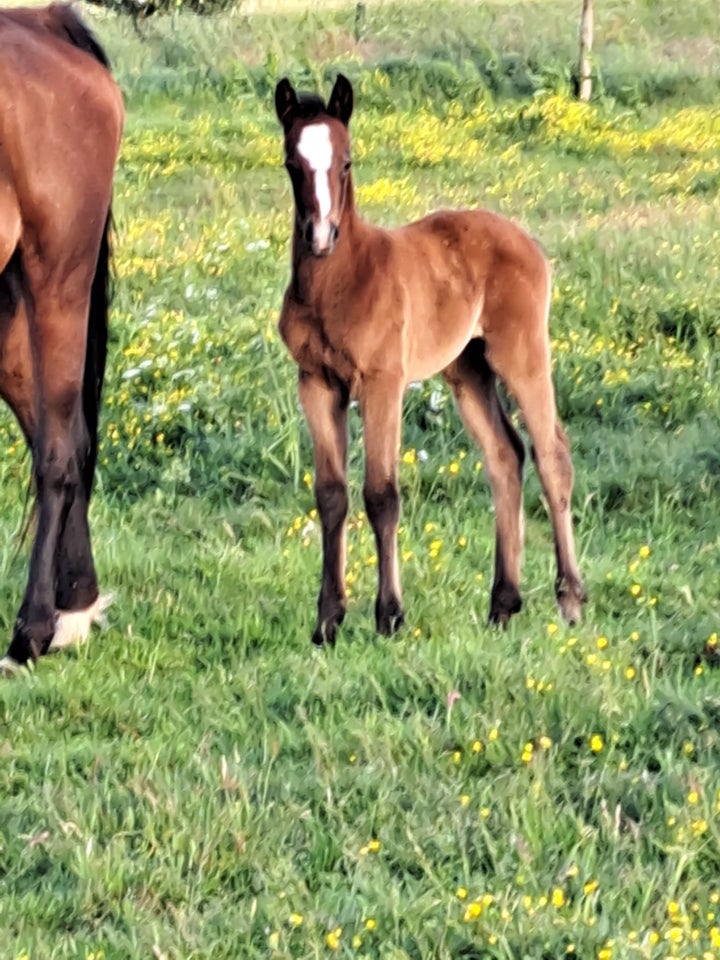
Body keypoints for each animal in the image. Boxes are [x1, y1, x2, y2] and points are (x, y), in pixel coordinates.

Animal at [276, 75, 584, 644]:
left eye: (346, 161)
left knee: (552, 453)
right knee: (505, 455)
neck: (341, 281)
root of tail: (526, 239)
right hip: (467, 368)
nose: (321, 235)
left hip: (521, 354)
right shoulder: (316, 382)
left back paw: (570, 600)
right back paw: (503, 604)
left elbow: (381, 493)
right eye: (291, 163)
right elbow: (331, 494)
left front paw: (390, 615)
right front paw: (327, 620)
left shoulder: (383, 380)